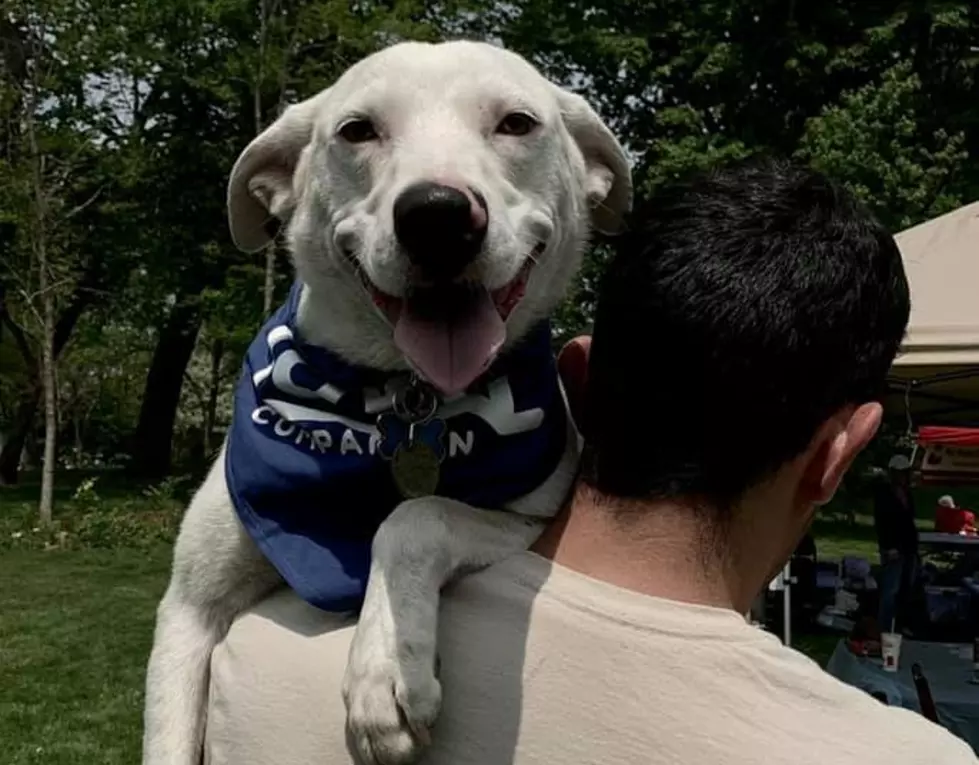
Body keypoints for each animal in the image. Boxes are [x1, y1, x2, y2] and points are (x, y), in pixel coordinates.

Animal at [144, 40, 636, 764]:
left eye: (516, 123)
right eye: (357, 130)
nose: (437, 214)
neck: (401, 403)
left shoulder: (532, 518)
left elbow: (414, 515)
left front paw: (383, 672)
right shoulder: (189, 607)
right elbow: (169, 732)